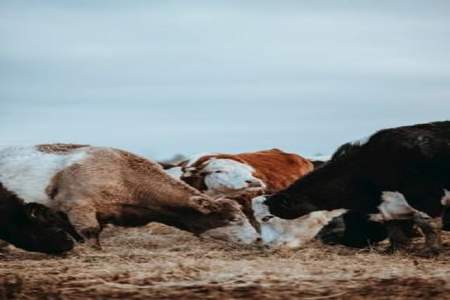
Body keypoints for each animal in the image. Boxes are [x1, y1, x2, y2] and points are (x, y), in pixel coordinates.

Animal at [253, 122, 450, 255]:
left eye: (267, 217)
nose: (266, 245)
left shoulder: (425, 198)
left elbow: (427, 225)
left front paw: (431, 251)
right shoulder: (388, 207)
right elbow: (394, 230)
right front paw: (394, 250)